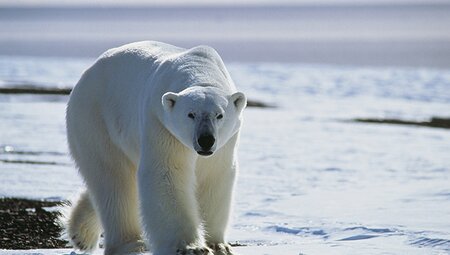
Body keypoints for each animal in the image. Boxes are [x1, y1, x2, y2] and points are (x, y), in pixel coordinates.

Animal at [67, 40, 248, 254]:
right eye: (190, 114)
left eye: (219, 115)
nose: (206, 140)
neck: (199, 67)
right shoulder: (161, 123)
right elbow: (166, 174)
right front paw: (190, 247)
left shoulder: (224, 144)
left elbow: (214, 177)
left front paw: (217, 244)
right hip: (96, 119)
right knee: (113, 180)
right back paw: (130, 243)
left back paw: (81, 233)